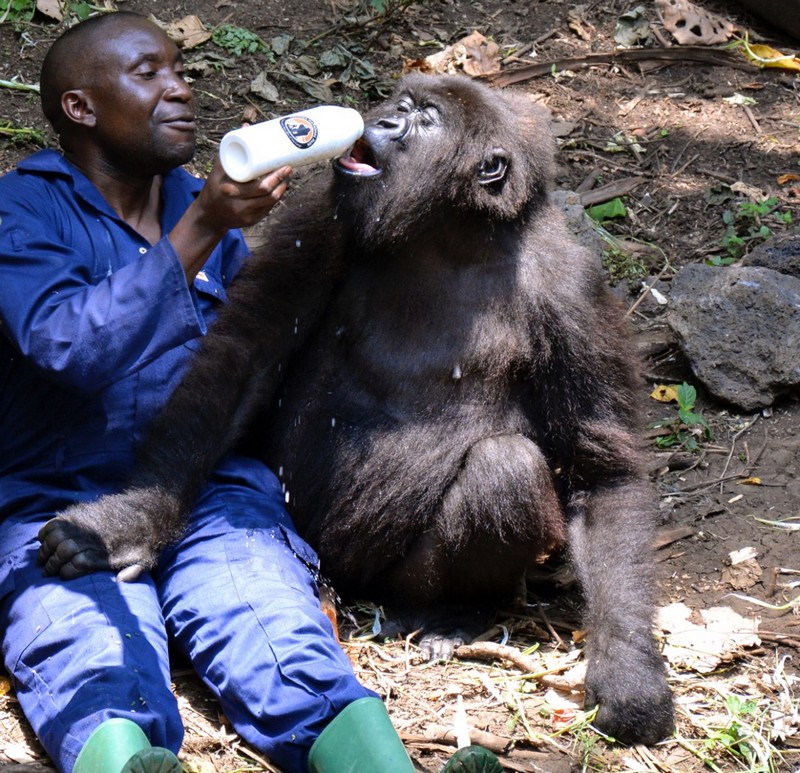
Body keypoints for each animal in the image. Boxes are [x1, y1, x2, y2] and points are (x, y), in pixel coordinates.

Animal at [37, 75, 676, 744]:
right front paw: (130, 520)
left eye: (425, 118)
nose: (385, 119)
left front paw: (629, 672)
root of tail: (349, 588)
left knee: (504, 469)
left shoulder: (572, 289)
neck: (450, 234)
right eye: (400, 101)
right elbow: (244, 356)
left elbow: (601, 470)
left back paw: (455, 612)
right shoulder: (321, 217)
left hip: (389, 580)